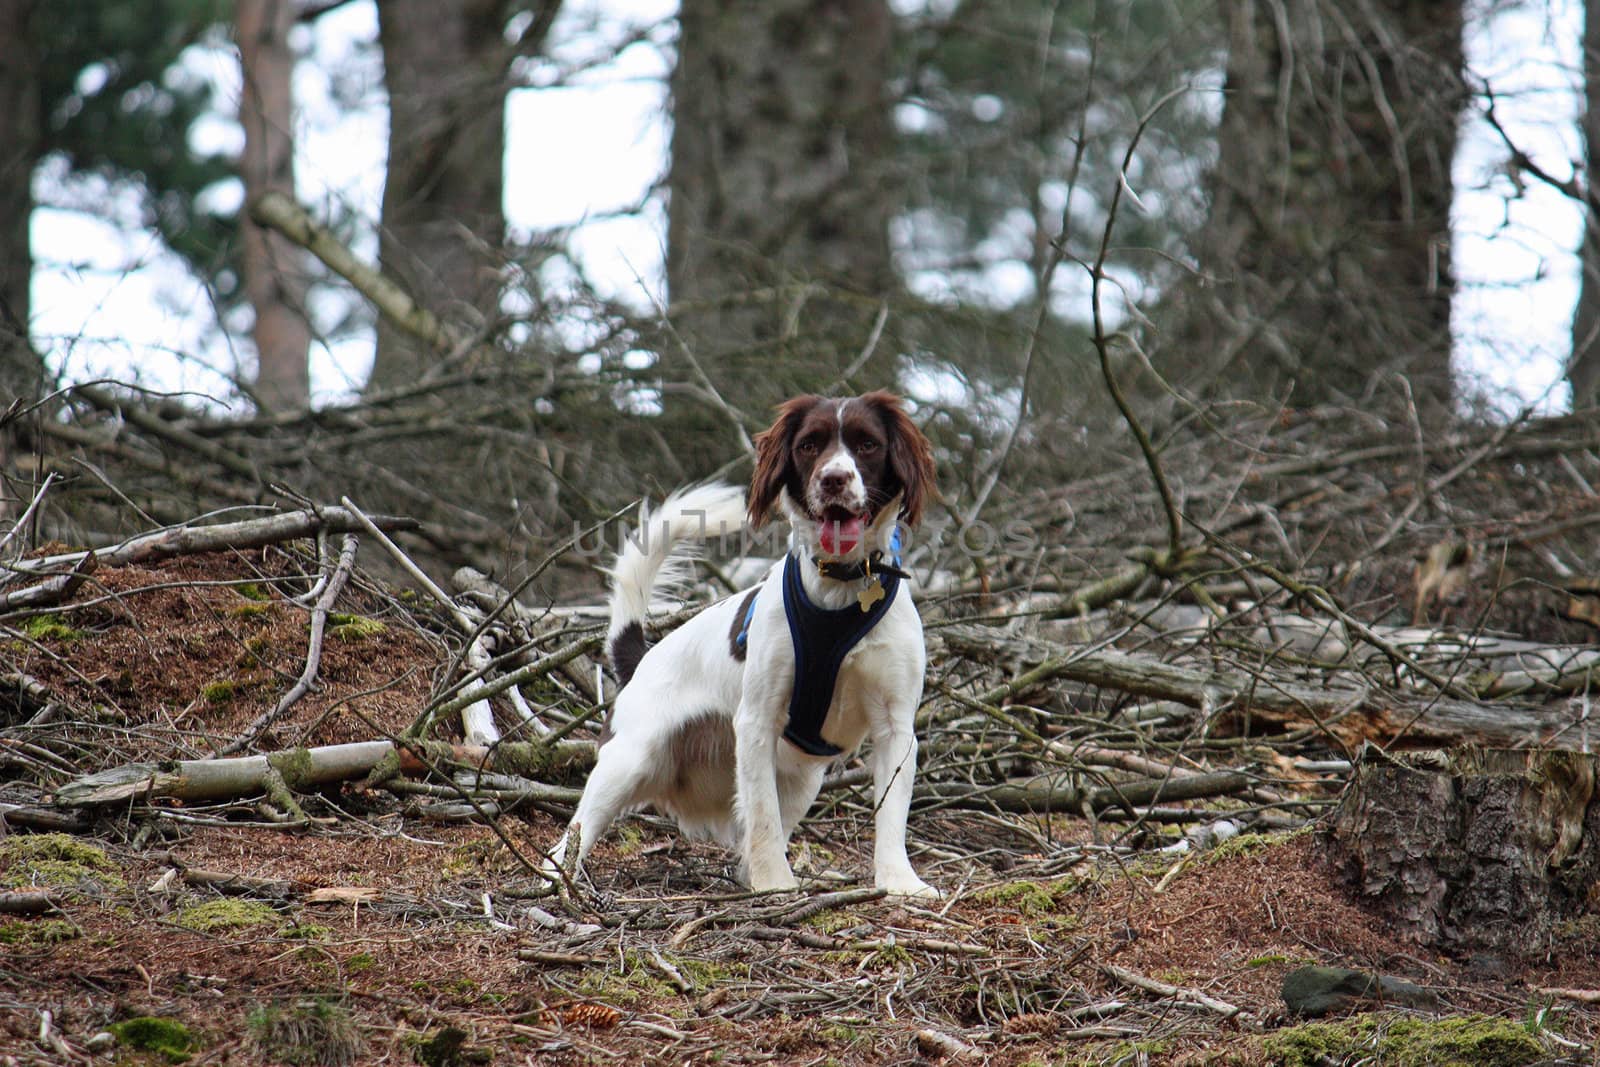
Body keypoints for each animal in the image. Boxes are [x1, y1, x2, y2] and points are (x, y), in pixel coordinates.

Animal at [550, 390, 934, 895]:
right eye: (810, 446)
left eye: (868, 444)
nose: (833, 479)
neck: (841, 588)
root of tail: (642, 659)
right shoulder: (757, 722)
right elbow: (762, 816)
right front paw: (775, 884)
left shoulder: (895, 727)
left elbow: (891, 814)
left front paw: (900, 882)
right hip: (628, 760)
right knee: (571, 837)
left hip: (804, 780)